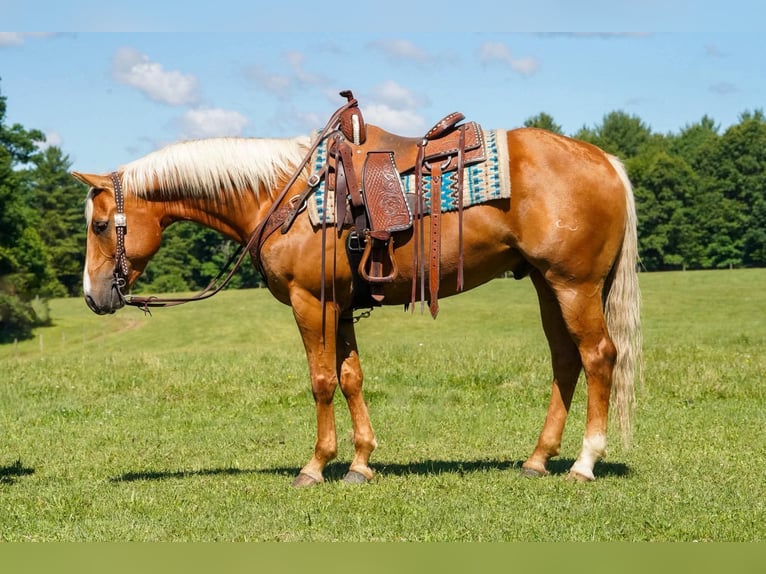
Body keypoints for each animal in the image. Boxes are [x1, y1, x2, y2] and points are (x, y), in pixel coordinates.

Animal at [73, 111, 641, 487]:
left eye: (100, 225)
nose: (92, 297)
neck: (281, 193)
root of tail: (605, 160)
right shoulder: (341, 306)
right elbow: (351, 378)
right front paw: (361, 463)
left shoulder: (311, 302)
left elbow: (322, 381)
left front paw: (315, 466)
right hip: (548, 284)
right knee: (565, 360)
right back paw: (537, 459)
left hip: (574, 285)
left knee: (597, 357)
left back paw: (584, 463)